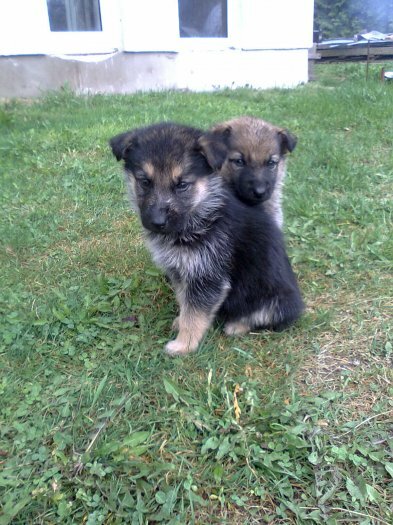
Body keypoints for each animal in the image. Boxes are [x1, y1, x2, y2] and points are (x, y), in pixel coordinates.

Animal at [110, 122, 304, 356]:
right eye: (145, 182)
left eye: (182, 184)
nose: (157, 222)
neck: (201, 214)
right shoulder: (181, 272)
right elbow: (185, 303)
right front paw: (180, 322)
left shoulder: (208, 276)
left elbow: (195, 314)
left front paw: (183, 345)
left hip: (277, 302)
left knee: (265, 318)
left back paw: (236, 325)